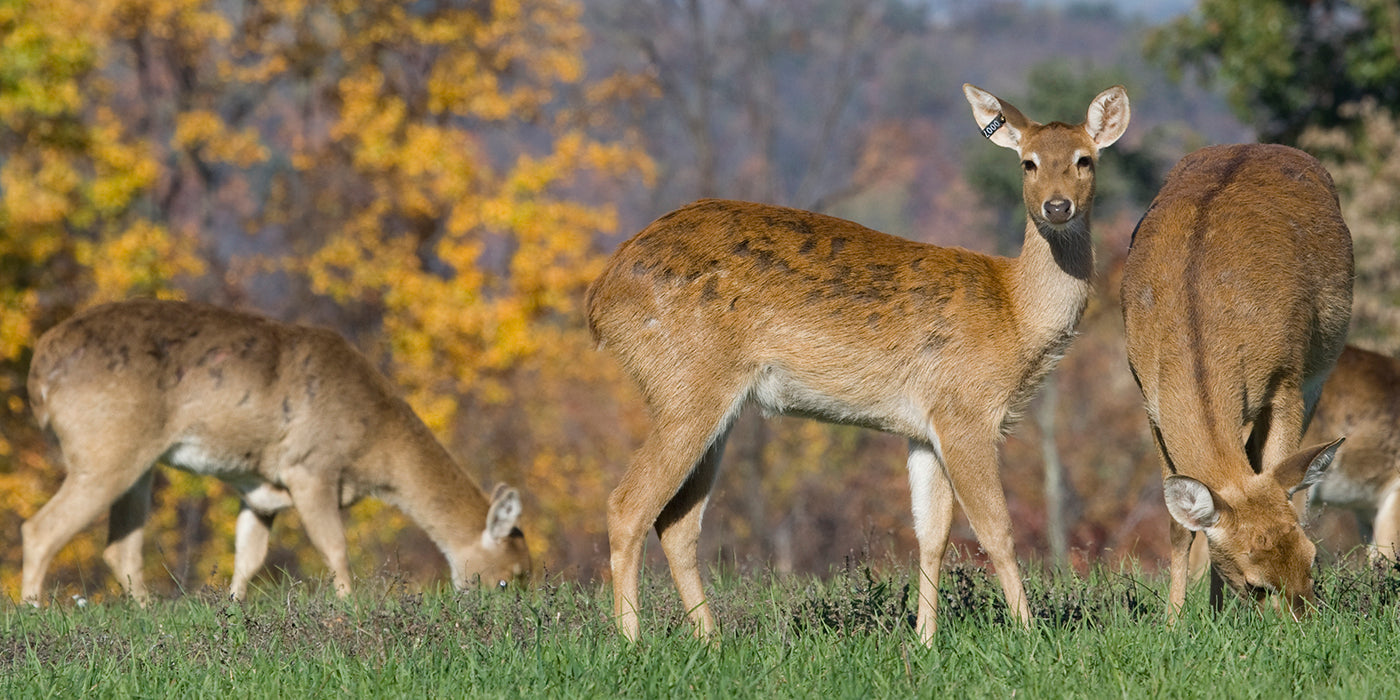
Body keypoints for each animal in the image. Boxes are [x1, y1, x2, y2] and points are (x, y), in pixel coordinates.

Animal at [21, 299, 531, 605]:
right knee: (40, 529)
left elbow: (248, 557)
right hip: (105, 447)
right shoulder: (312, 467)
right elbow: (335, 546)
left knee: (119, 548)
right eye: (511, 575)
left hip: (137, 463)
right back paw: (33, 609)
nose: (514, 609)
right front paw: (349, 607)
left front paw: (233, 607)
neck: (375, 442)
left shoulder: (260, 490)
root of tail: (40, 372)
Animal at [585, 83, 1130, 644]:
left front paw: (924, 639)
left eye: (1085, 159)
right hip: (686, 385)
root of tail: (600, 299)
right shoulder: (965, 411)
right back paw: (632, 641)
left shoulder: (924, 427)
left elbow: (931, 534)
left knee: (676, 522)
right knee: (627, 505)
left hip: (710, 402)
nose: (1057, 206)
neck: (1015, 315)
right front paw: (1029, 633)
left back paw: (710, 640)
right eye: (1027, 162)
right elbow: (997, 529)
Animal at [1120, 143, 1353, 621]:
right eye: (1255, 585)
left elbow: (1282, 479)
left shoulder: (1287, 378)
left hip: (1317, 375)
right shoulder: (1148, 399)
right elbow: (1178, 523)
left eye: (1312, 559)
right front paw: (1174, 621)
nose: (1307, 623)